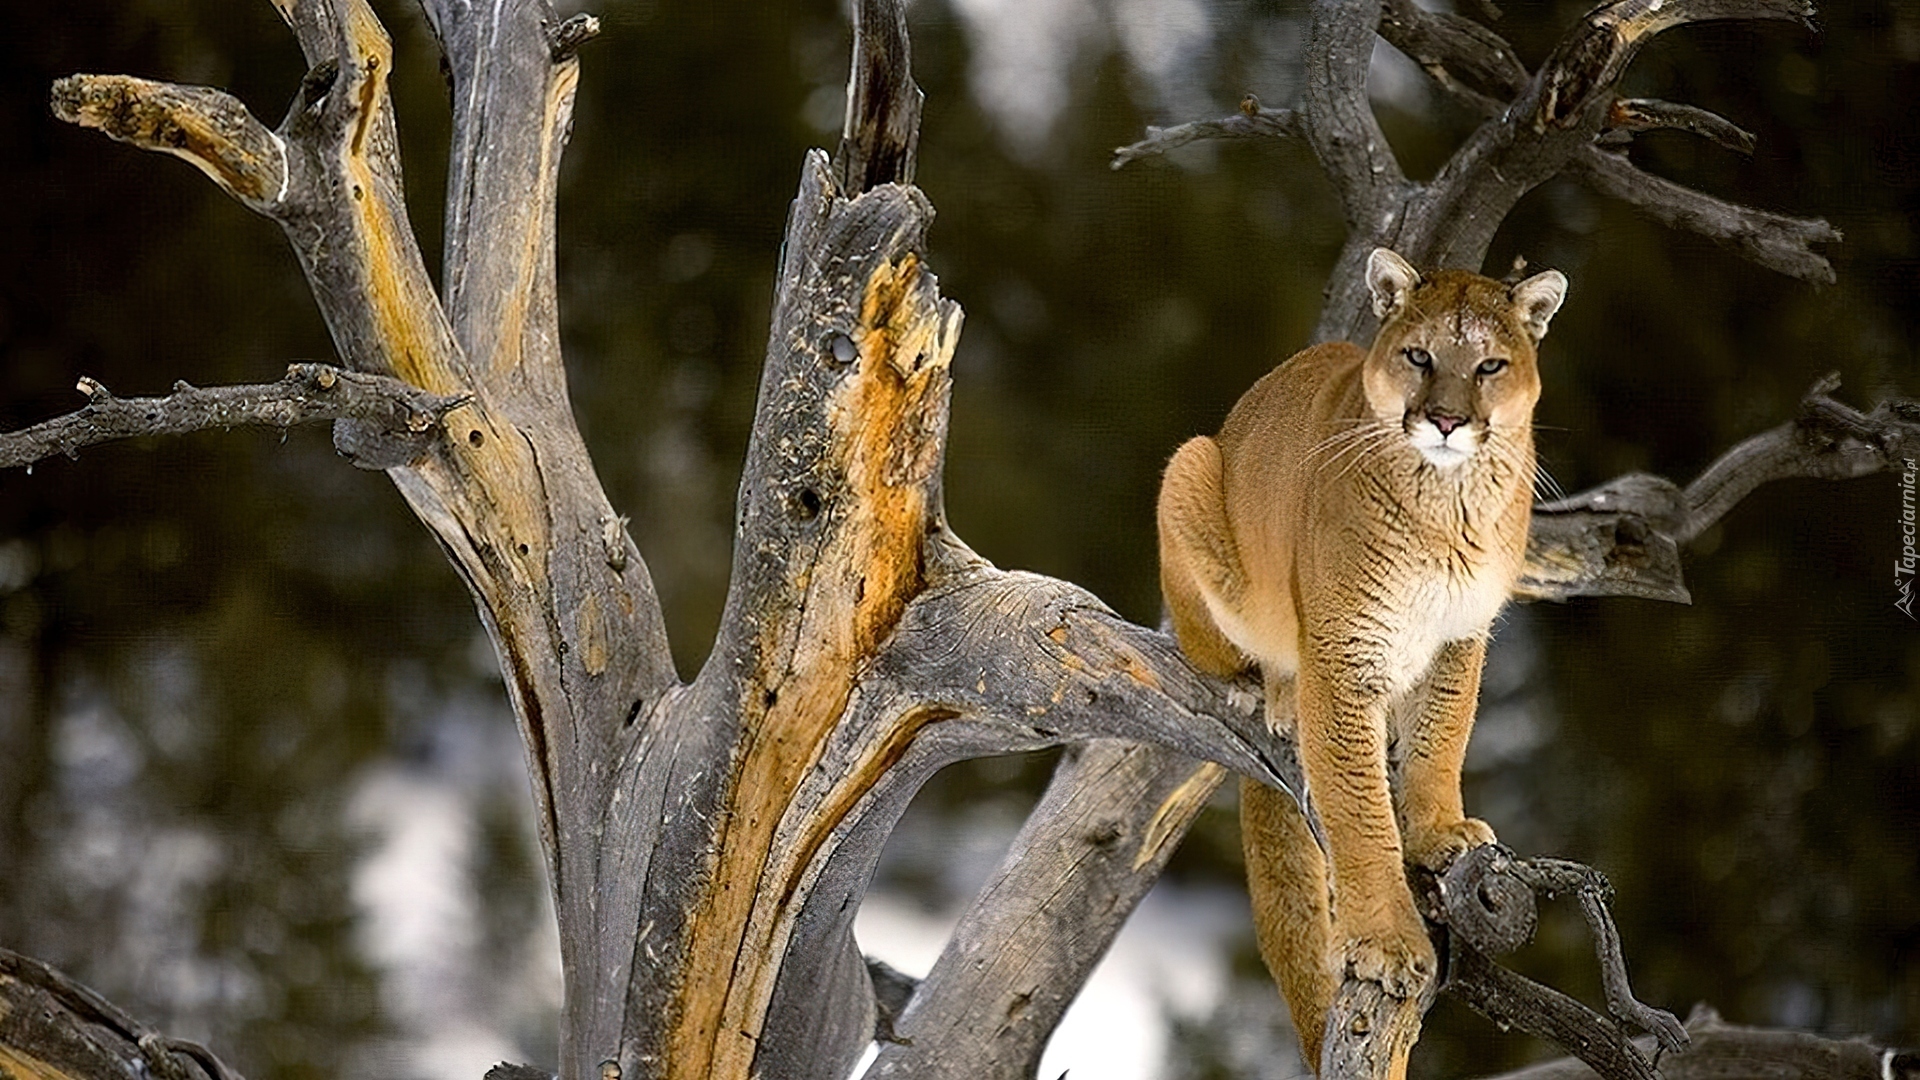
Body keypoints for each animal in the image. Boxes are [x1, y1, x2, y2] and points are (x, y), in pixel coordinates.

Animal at [1144, 245, 1566, 1068]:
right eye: (1419, 355)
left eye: (1490, 365)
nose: (1446, 419)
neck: (1447, 506)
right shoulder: (1345, 650)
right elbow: (1359, 809)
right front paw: (1386, 943)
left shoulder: (1461, 635)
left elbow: (1443, 739)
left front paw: (1438, 831)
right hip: (1189, 468)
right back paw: (1271, 695)